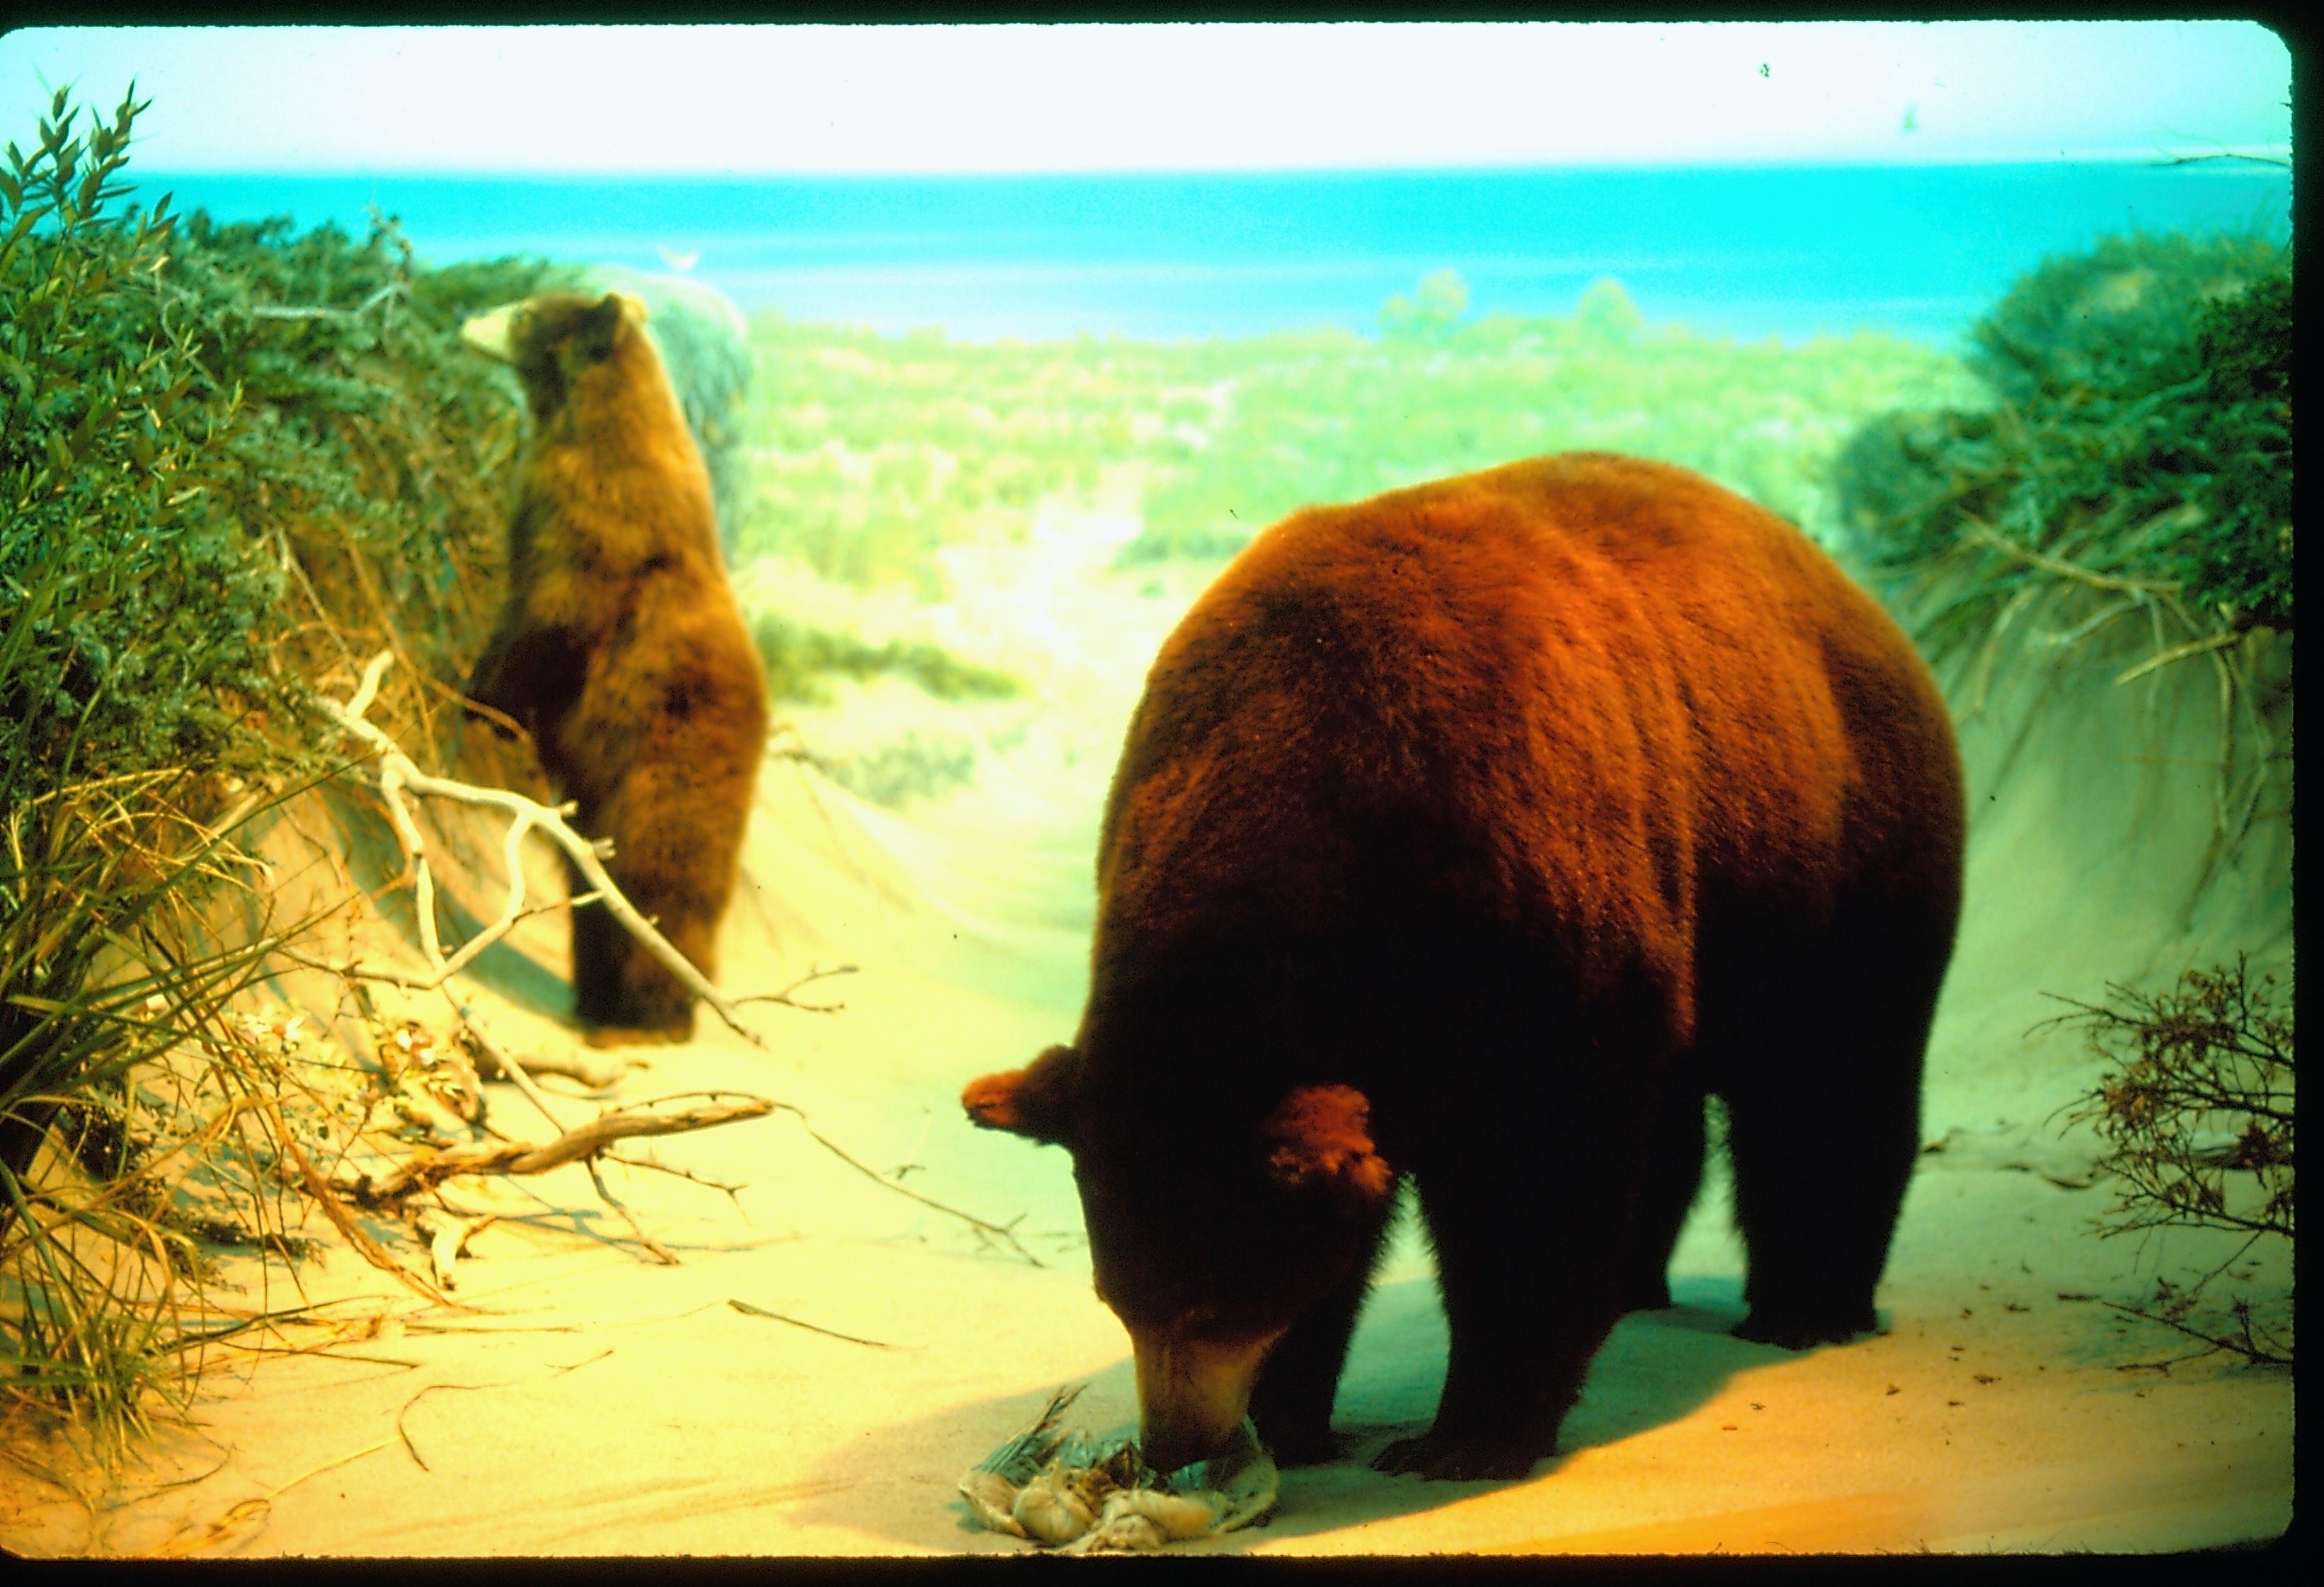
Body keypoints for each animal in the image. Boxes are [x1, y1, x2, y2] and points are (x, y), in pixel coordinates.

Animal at [457, 291, 767, 1050]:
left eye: (521, 314)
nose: (466, 317)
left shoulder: (600, 515)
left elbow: (559, 611)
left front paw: (486, 700)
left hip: (664, 770)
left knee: (656, 888)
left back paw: (652, 1015)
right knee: (590, 896)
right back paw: (593, 1001)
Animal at [962, 450, 1961, 1486]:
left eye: (1218, 1301)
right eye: (1115, 1298)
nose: (1173, 1445)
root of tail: (1861, 599)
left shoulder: (1529, 898)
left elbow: (1531, 1177)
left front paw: (1466, 1432)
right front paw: (1292, 1413)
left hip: (1837, 853)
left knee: (1831, 1083)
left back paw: (1807, 1305)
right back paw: (1639, 1283)